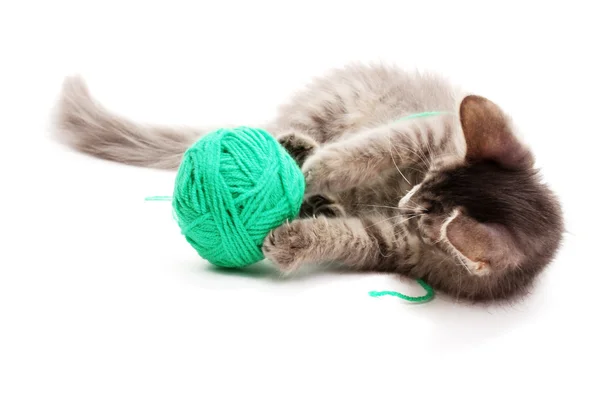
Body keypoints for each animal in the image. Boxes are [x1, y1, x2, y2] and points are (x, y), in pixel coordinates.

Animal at [55, 62, 564, 304]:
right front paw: (308, 171)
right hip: (330, 105)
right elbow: (369, 149)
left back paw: (317, 201)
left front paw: (294, 237)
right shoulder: (424, 132)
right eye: (425, 179)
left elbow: (348, 237)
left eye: (422, 215)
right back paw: (294, 152)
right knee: (297, 128)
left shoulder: (390, 242)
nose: (405, 199)